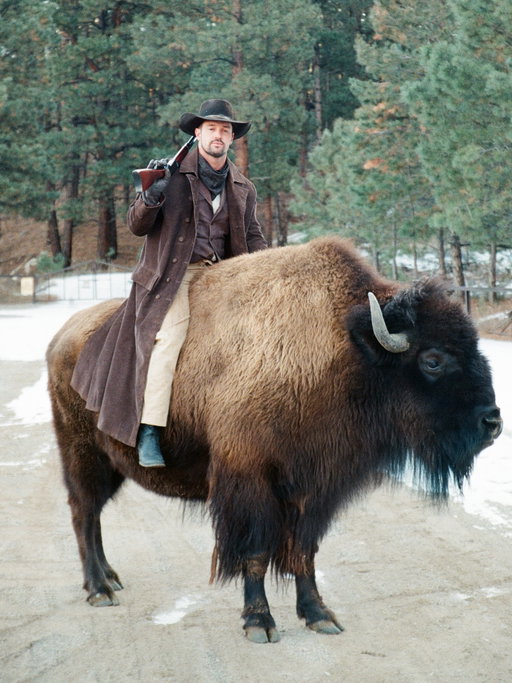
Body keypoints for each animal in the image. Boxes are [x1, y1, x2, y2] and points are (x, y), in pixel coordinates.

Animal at [46, 236, 502, 643]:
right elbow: (255, 553)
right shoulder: (251, 483)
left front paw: (319, 615)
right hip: (82, 453)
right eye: (433, 360)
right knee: (83, 512)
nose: (493, 422)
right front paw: (259, 623)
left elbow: (303, 552)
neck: (346, 350)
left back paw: (111, 578)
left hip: (111, 465)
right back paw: (99, 590)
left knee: (93, 514)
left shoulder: (313, 487)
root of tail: (62, 337)